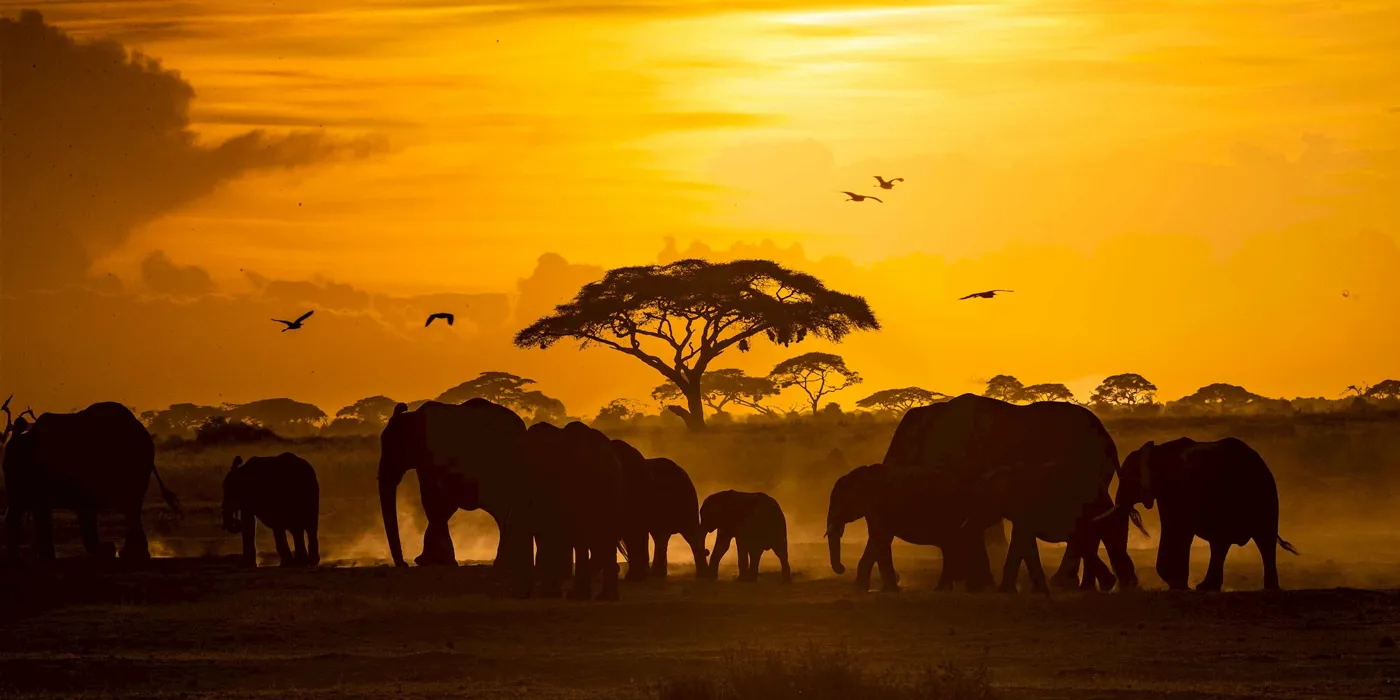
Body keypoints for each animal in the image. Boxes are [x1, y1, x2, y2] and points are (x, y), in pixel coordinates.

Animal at [611, 439, 707, 581]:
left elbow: (634, 531)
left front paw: (634, 578)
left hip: (686, 498)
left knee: (690, 533)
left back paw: (703, 575)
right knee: (660, 535)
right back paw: (657, 574)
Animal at [835, 394, 1136, 594]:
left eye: (903, 455)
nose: (898, 579)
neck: (932, 416)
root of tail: (1109, 441)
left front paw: (977, 583)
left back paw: (1070, 583)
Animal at [1098, 438, 1297, 590]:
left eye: (1124, 478)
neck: (1155, 451)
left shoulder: (1178, 489)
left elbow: (1177, 530)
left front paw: (1177, 584)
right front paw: (1178, 584)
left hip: (1265, 494)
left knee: (1263, 539)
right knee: (1224, 544)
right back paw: (1208, 587)